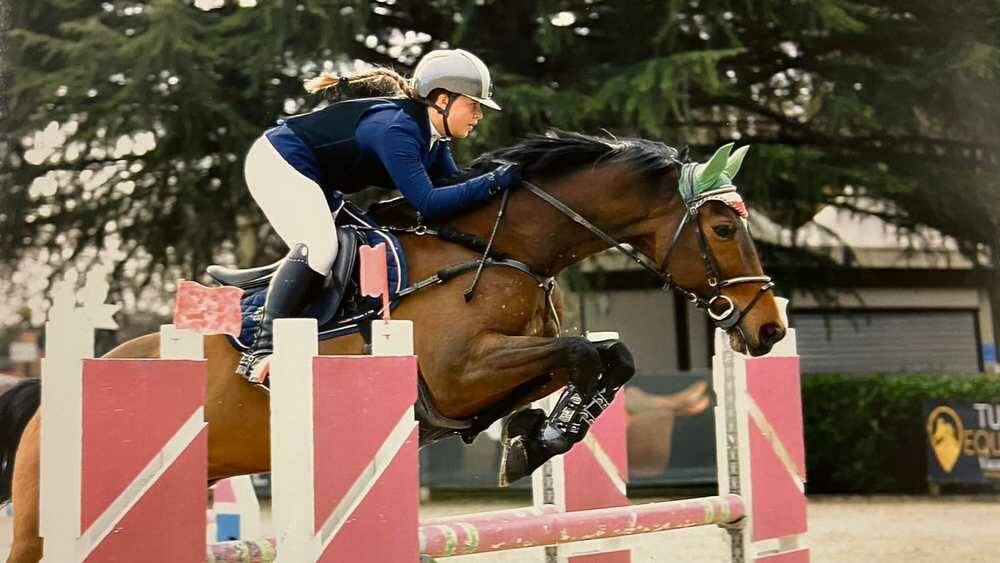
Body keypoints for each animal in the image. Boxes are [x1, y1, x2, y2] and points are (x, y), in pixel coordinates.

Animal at [0, 130, 784, 560]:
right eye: (721, 229)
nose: (771, 327)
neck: (503, 250)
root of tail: (51, 389)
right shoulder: (459, 374)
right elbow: (584, 354)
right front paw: (539, 437)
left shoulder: (495, 369)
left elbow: (606, 356)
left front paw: (533, 436)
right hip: (39, 519)